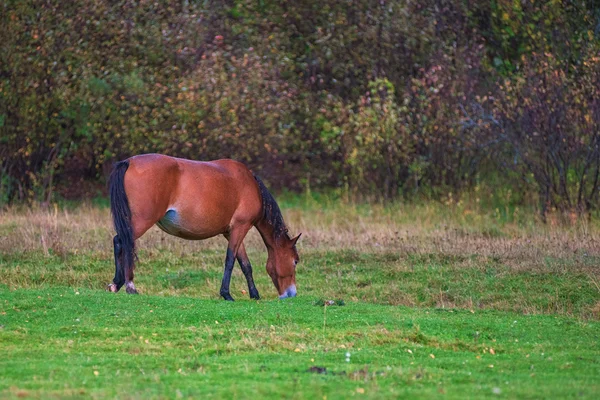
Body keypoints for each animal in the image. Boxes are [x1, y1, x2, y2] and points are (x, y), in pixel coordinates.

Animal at [106, 153, 300, 300]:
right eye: (295, 261)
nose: (291, 294)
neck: (249, 184)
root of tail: (129, 162)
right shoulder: (241, 227)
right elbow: (230, 260)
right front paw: (226, 294)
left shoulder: (231, 232)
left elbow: (245, 264)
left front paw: (254, 294)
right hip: (141, 222)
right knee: (124, 242)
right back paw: (129, 285)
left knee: (118, 242)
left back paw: (117, 283)